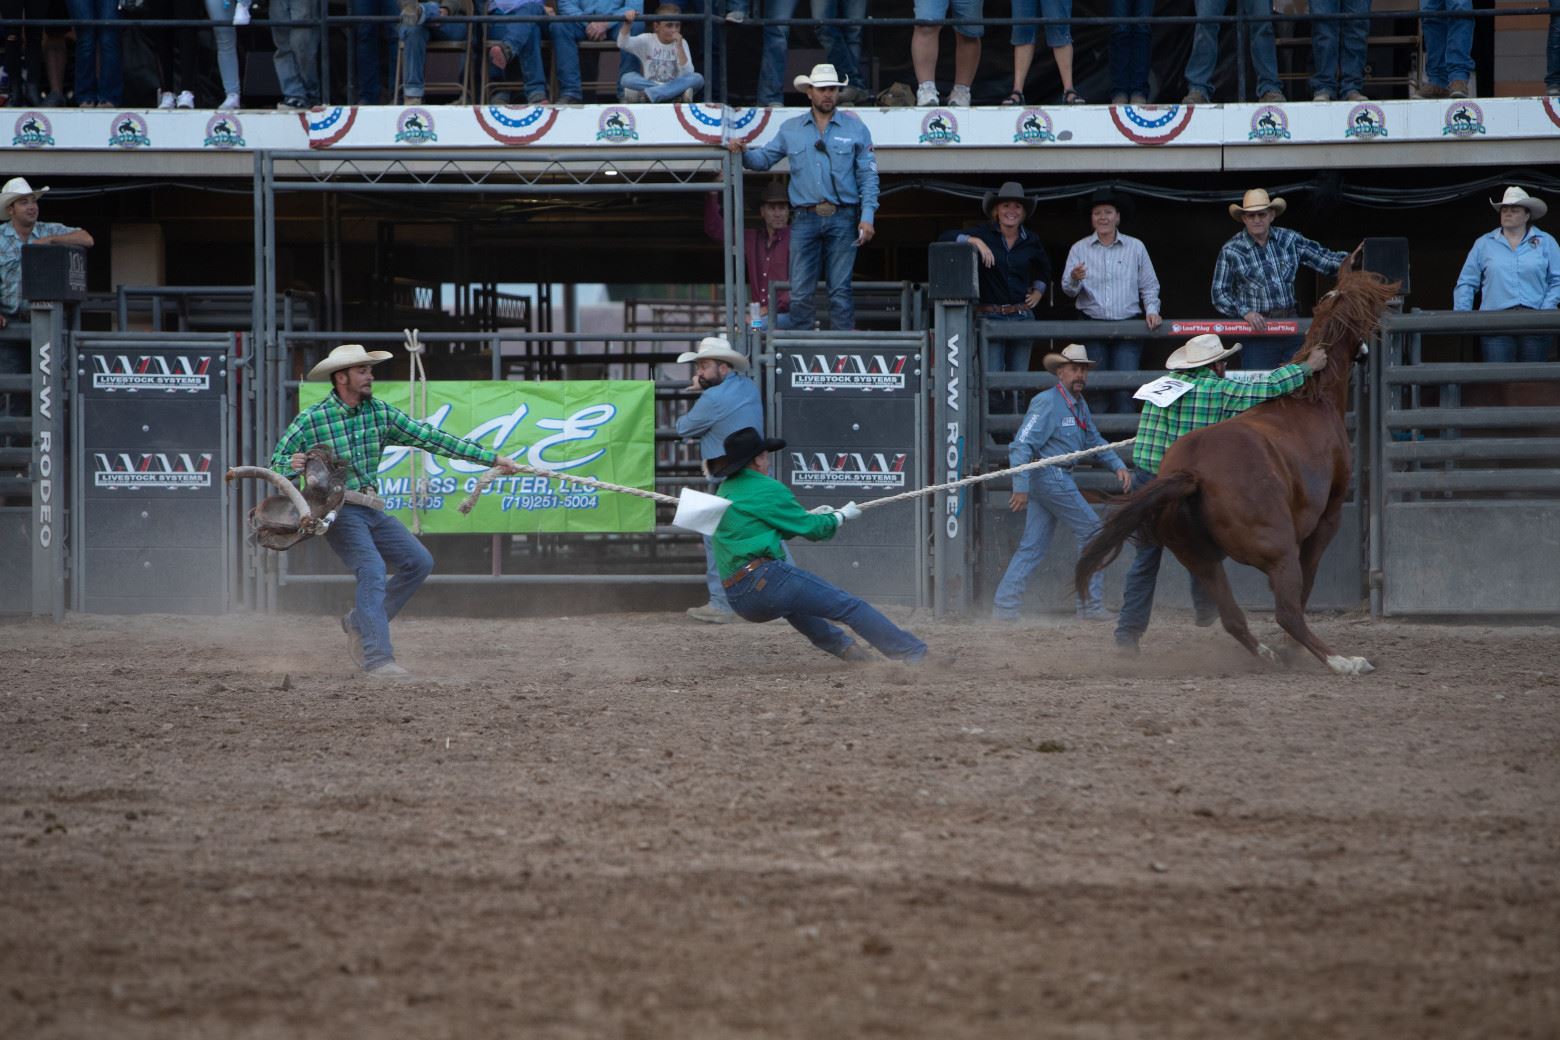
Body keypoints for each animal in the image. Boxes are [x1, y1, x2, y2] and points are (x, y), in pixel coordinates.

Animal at [1073, 271, 1404, 676]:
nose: (1366, 352)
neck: (1313, 402)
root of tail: (1191, 473)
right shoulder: (1329, 518)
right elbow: (1308, 583)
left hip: (1201, 560)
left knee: (1233, 618)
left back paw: (1269, 655)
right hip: (1278, 550)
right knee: (1287, 612)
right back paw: (1342, 661)